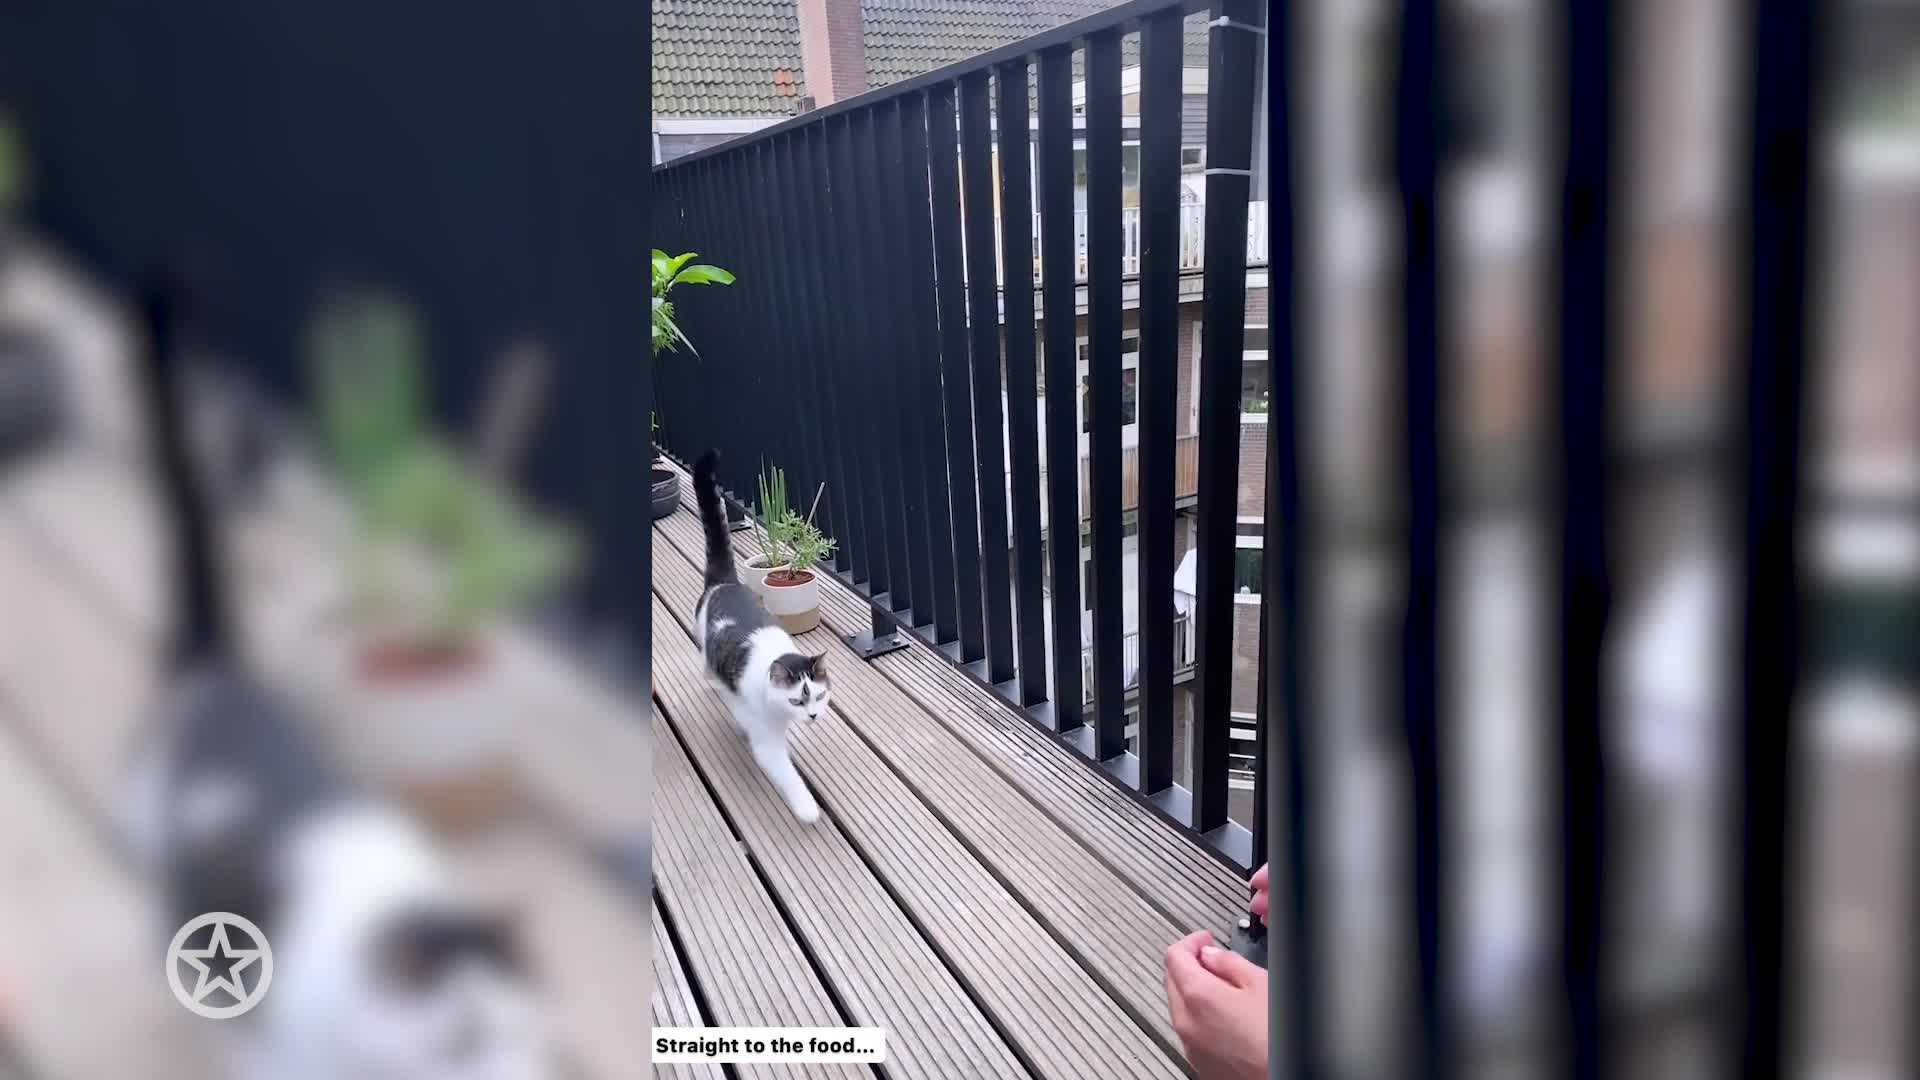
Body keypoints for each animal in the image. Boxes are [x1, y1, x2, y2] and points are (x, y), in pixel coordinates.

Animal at [698, 447, 833, 822]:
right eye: (796, 700)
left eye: (819, 696)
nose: (813, 716)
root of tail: (725, 583)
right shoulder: (766, 740)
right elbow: (786, 774)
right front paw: (807, 809)